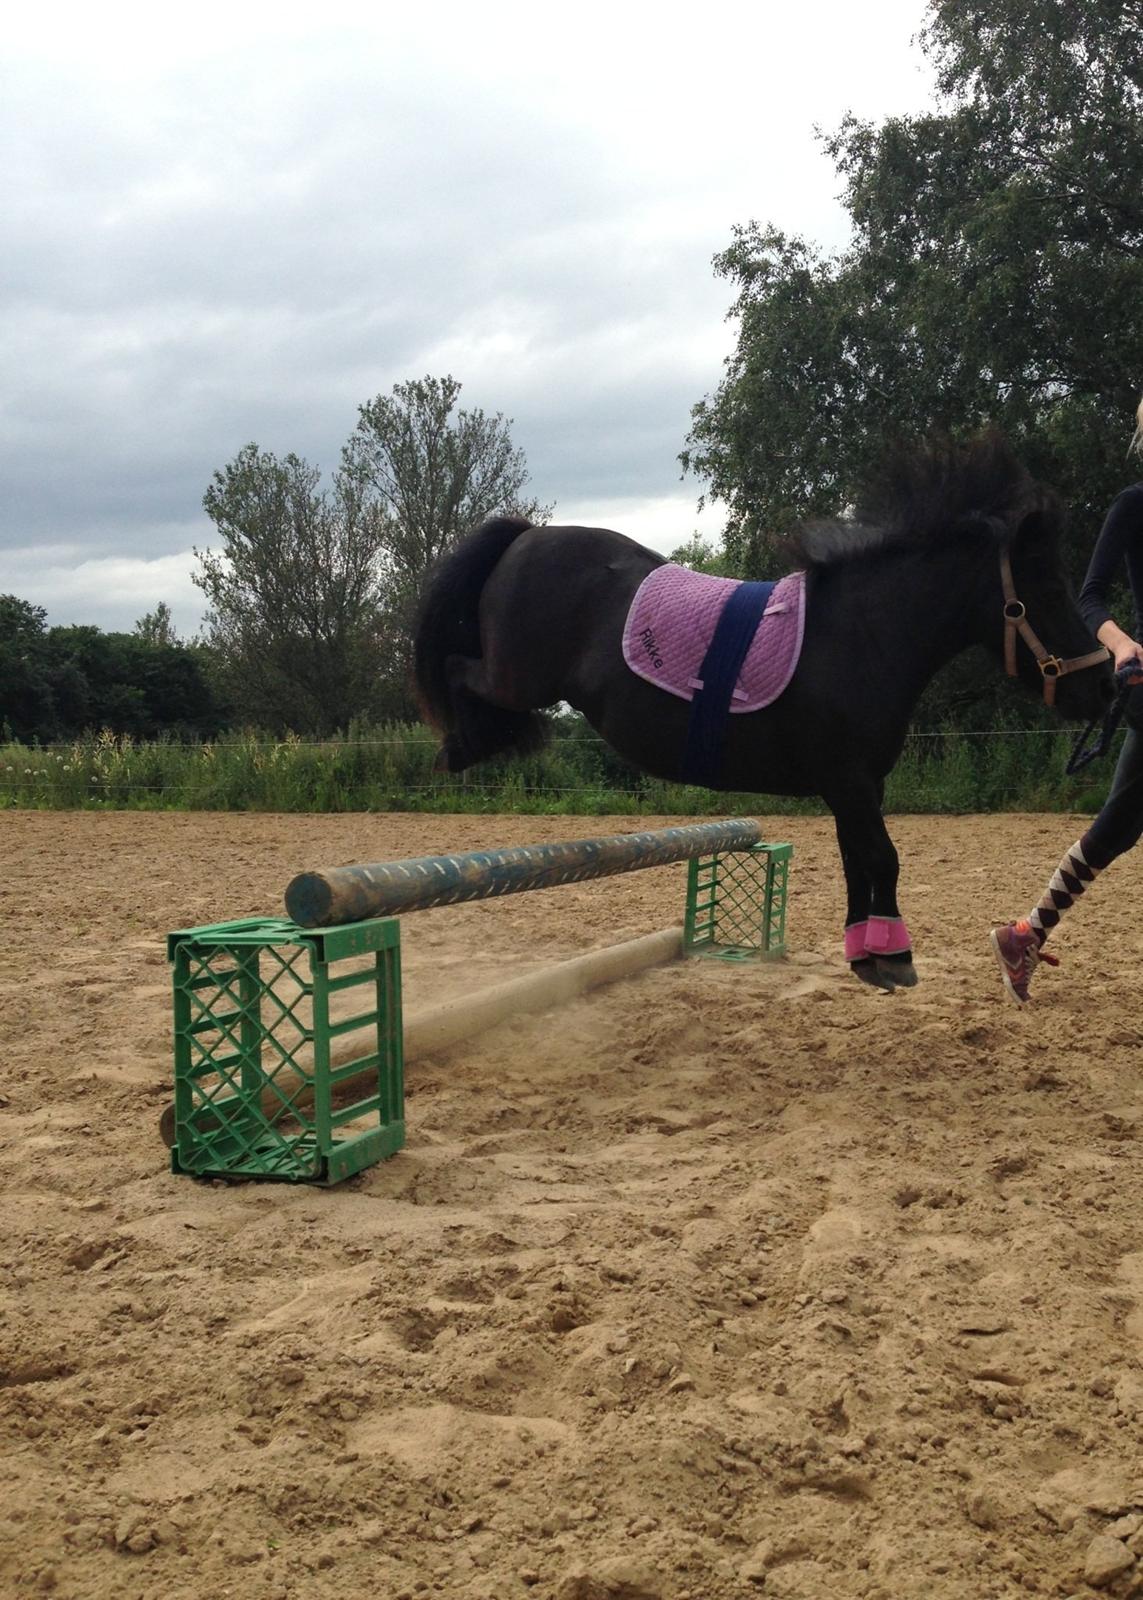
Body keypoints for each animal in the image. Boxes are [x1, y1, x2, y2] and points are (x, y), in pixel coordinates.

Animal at [412, 433, 1111, 989]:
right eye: (1044, 592)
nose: (1103, 684)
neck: (859, 634)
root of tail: (528, 535)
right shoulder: (850, 779)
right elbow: (883, 857)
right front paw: (894, 956)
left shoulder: (855, 785)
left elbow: (859, 858)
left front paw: (867, 955)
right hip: (515, 677)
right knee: (458, 670)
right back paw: (461, 747)